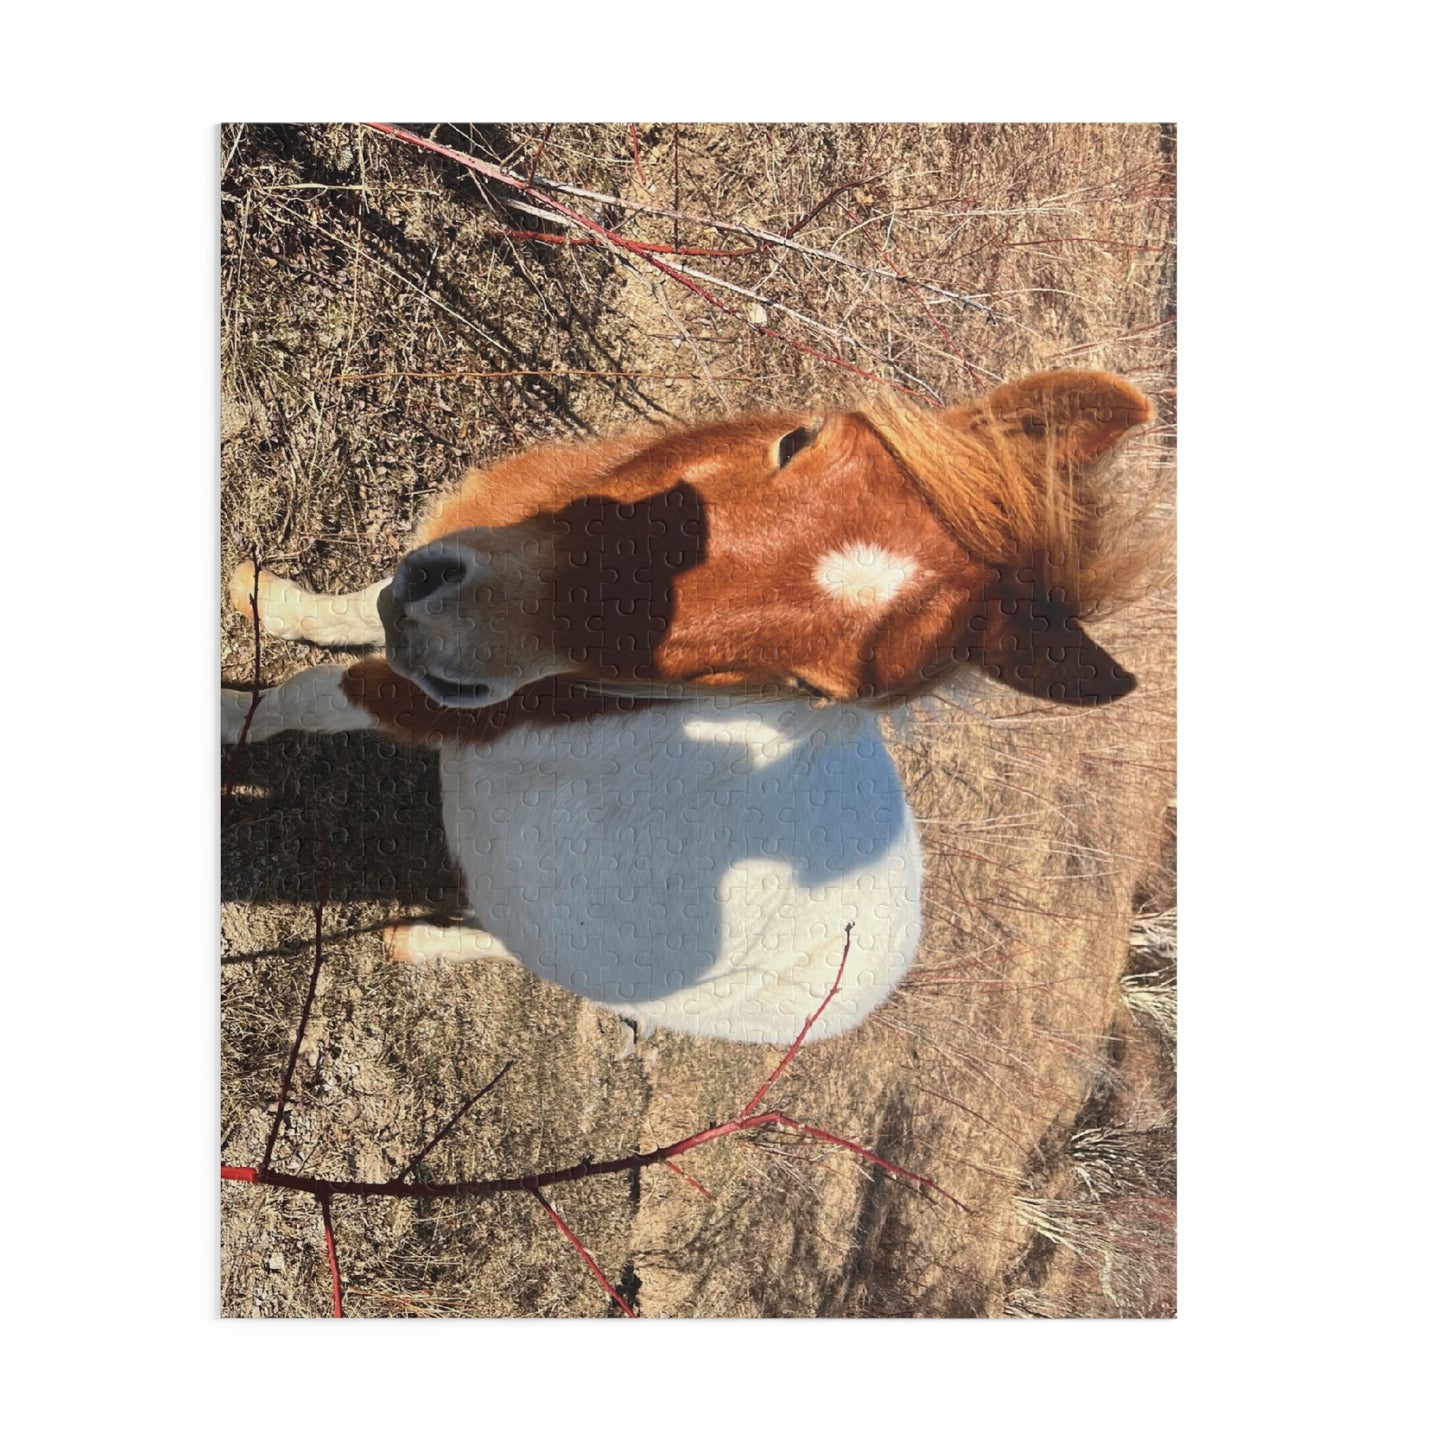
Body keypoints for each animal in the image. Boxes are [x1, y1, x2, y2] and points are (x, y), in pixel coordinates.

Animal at [222, 370, 1154, 1046]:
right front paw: (263, 597)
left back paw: (418, 941)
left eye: (811, 689)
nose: (457, 624)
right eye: (799, 438)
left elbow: (305, 695)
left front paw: (230, 720)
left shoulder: (437, 704)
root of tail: (891, 960)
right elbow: (350, 609)